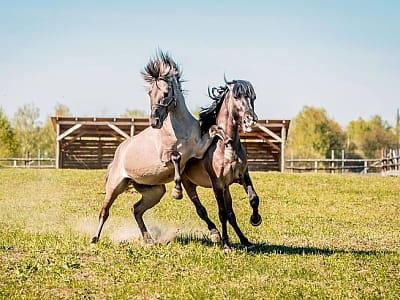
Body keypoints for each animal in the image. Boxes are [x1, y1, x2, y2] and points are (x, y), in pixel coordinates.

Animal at [90, 51, 222, 244]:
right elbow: (176, 157)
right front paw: (177, 192)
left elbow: (210, 134)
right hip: (115, 187)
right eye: (149, 93)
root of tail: (118, 154)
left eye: (166, 92)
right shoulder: (165, 158)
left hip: (155, 191)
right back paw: (94, 238)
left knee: (136, 209)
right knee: (104, 212)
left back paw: (148, 240)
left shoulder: (198, 151)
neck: (180, 129)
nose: (154, 122)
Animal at [183, 78, 264, 250]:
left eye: (253, 97)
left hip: (226, 188)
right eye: (236, 97)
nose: (251, 119)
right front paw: (226, 245)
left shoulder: (242, 176)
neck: (226, 145)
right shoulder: (218, 184)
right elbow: (222, 213)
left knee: (231, 214)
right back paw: (216, 235)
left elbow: (253, 198)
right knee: (201, 210)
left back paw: (245, 241)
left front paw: (255, 220)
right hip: (189, 184)